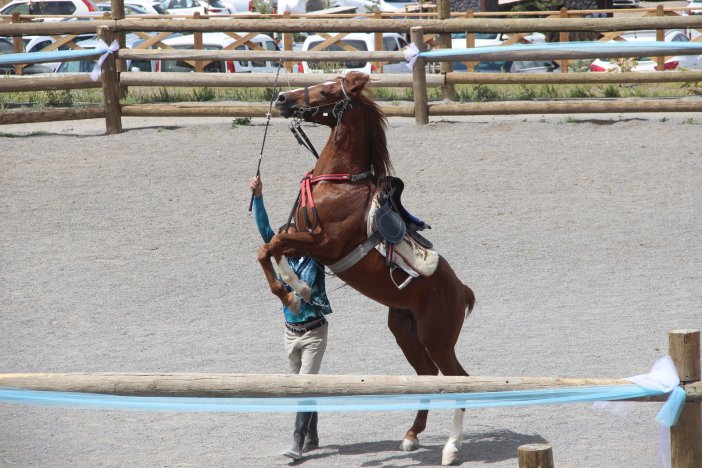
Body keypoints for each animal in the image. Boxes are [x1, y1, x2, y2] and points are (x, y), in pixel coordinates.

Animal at [260, 70, 478, 464]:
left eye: (328, 91)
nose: (282, 98)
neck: (339, 183)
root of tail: (461, 290)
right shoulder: (301, 237)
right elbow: (269, 247)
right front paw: (294, 289)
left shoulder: (326, 246)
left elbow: (271, 246)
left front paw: (295, 292)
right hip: (405, 330)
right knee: (427, 375)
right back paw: (411, 435)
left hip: (437, 338)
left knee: (459, 379)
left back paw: (451, 448)